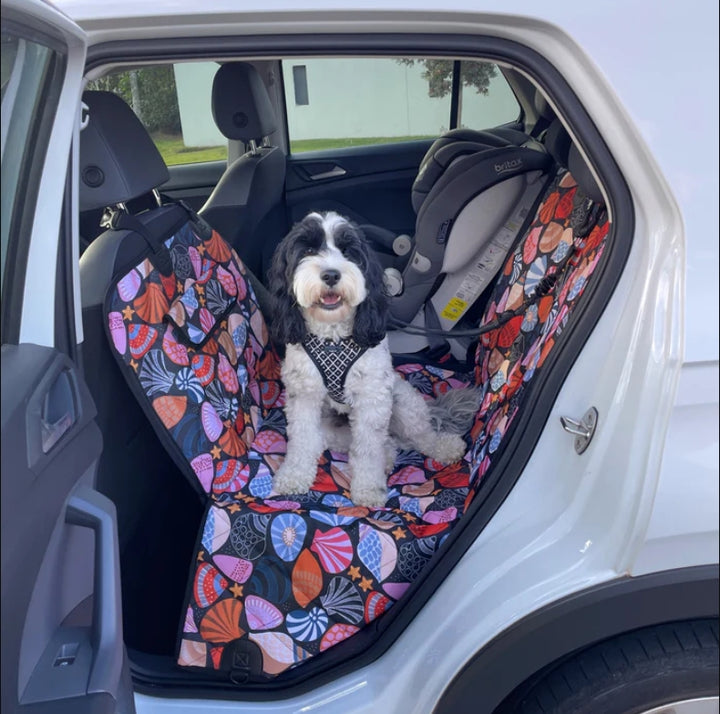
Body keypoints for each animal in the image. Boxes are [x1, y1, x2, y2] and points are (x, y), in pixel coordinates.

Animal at [270, 211, 472, 506]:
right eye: (307, 251)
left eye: (348, 252)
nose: (331, 274)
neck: (333, 339)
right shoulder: (304, 395)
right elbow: (303, 439)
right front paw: (294, 476)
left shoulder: (372, 398)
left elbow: (368, 449)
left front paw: (368, 489)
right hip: (333, 427)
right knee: (378, 442)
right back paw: (387, 456)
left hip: (402, 400)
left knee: (419, 435)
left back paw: (444, 446)